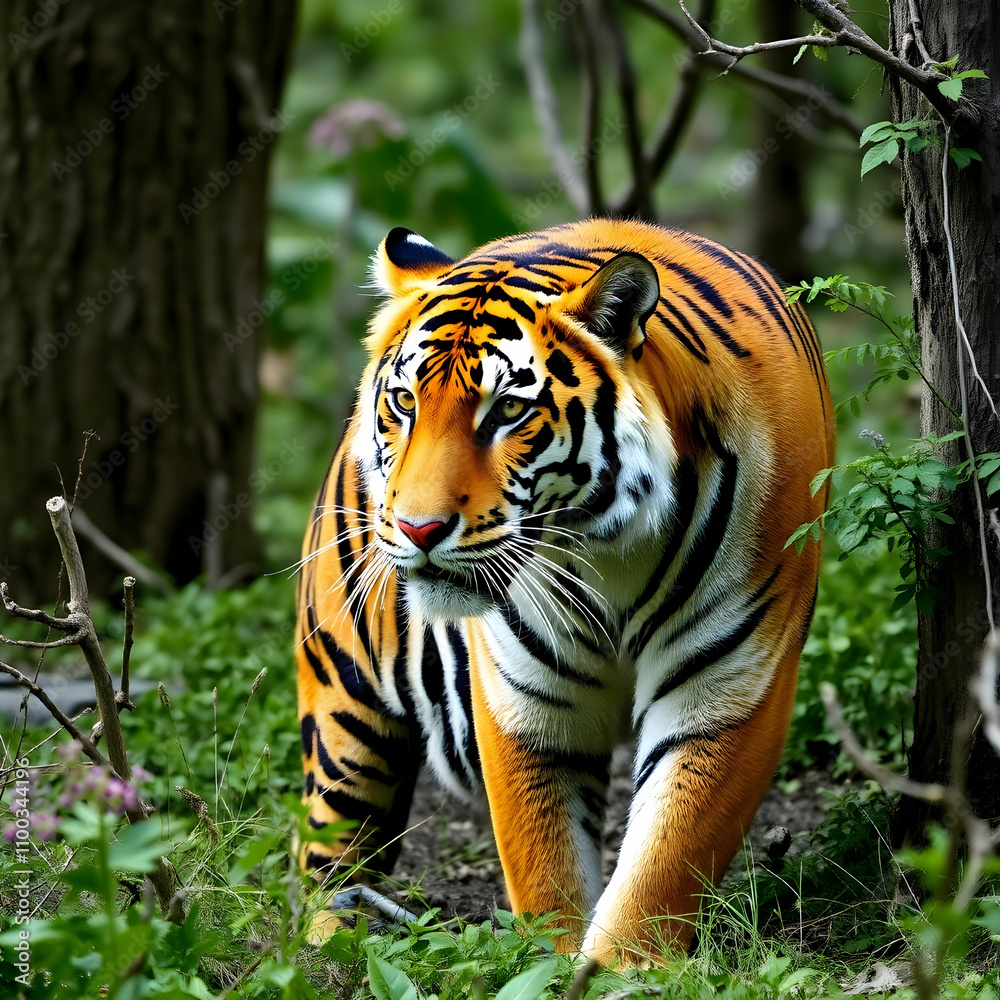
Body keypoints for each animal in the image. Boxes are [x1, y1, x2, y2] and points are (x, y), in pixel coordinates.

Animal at [296, 218, 833, 965]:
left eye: (508, 411)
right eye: (405, 403)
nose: (417, 527)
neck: (608, 552)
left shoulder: (727, 688)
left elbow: (666, 860)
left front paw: (620, 968)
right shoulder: (529, 701)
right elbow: (544, 863)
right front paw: (550, 962)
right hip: (344, 708)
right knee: (329, 856)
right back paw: (324, 953)